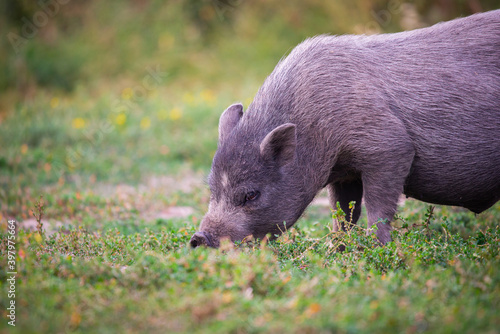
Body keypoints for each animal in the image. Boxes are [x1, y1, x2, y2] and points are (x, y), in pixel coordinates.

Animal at [190, 9, 500, 248]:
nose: (198, 238)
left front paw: (378, 248)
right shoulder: (345, 174)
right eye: (212, 188)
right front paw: (337, 247)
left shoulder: (390, 148)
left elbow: (377, 208)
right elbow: (342, 213)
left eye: (251, 194)